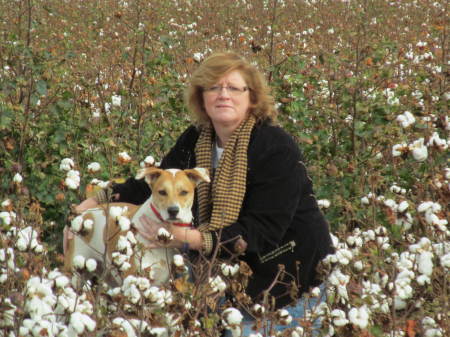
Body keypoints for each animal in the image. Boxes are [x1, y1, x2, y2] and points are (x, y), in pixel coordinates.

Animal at [64, 167, 210, 284]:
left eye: (184, 192)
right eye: (162, 192)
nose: (173, 210)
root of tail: (82, 215)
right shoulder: (134, 278)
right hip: (75, 273)